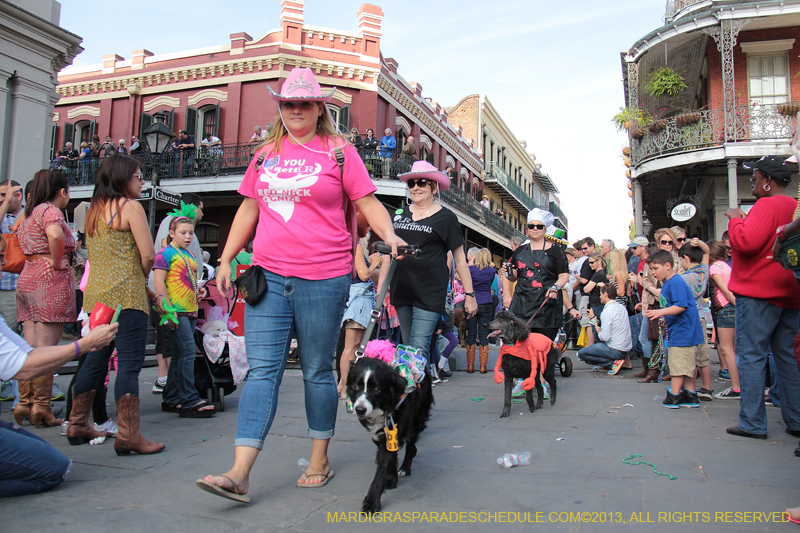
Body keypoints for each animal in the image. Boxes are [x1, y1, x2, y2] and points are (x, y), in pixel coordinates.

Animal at [344, 356, 432, 512]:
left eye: (376, 389)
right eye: (355, 387)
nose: (360, 409)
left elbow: (381, 471)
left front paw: (371, 502)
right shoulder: (383, 435)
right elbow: (389, 457)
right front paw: (391, 479)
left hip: (417, 418)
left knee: (411, 444)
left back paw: (405, 468)